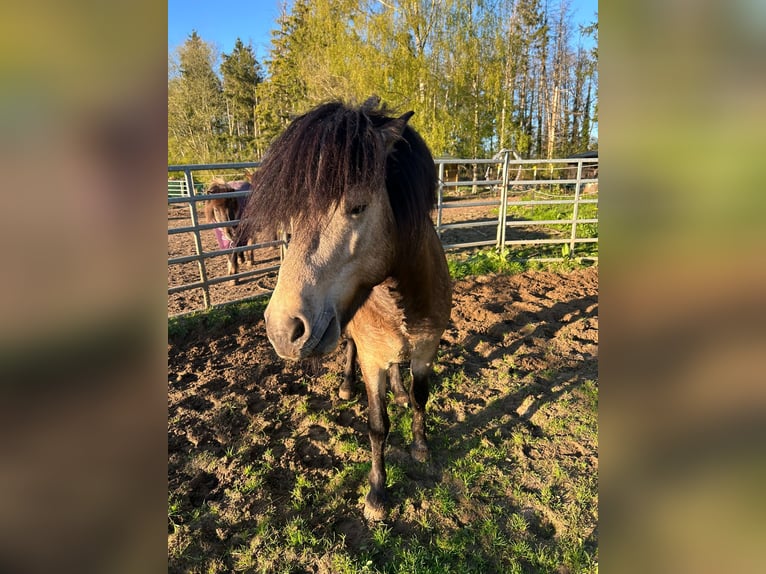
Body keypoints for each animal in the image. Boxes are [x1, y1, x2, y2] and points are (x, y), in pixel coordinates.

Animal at [240, 96, 452, 521]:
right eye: (293, 215)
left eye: (357, 207)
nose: (281, 330)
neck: (403, 296)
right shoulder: (372, 360)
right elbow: (377, 424)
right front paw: (377, 493)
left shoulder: (427, 349)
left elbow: (420, 398)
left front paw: (420, 445)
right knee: (351, 348)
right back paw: (345, 386)